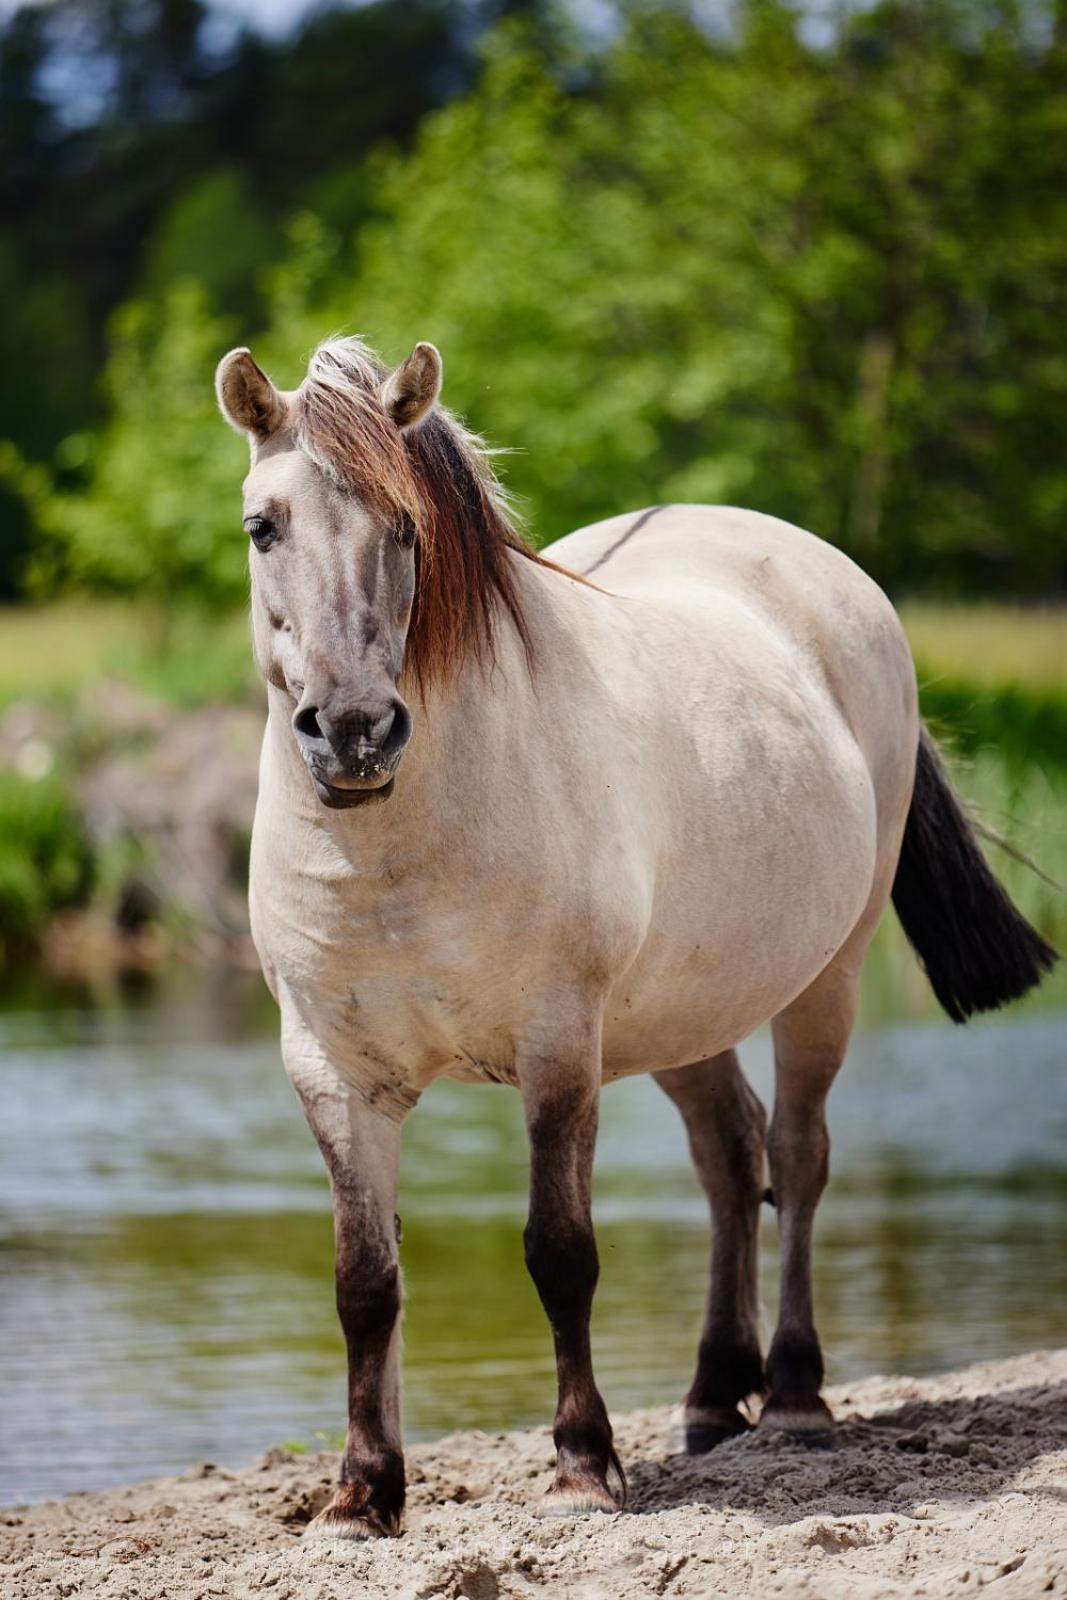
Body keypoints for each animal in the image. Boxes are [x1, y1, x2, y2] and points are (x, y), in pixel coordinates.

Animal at [212, 334, 1055, 1536]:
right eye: (262, 526)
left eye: (407, 529)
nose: (355, 732)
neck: (402, 848)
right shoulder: (330, 1069)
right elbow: (364, 1282)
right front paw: (360, 1494)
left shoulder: (558, 1050)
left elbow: (559, 1252)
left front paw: (581, 1465)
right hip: (683, 1016)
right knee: (729, 1158)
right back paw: (708, 1399)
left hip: (826, 981)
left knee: (796, 1159)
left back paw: (792, 1396)